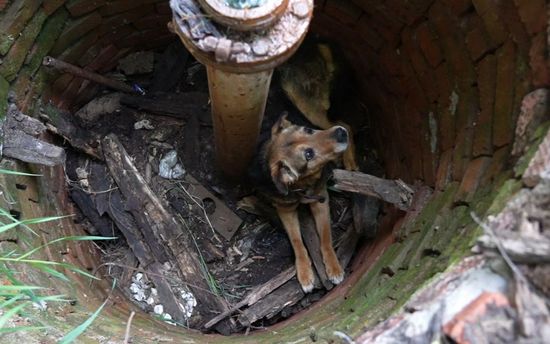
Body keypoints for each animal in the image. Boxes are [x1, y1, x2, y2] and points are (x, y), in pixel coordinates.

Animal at [251, 114, 350, 292]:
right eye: (308, 154)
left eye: (308, 130)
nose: (340, 133)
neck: (302, 186)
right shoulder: (285, 210)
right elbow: (296, 241)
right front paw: (304, 272)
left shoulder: (321, 200)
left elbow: (326, 236)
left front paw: (333, 266)